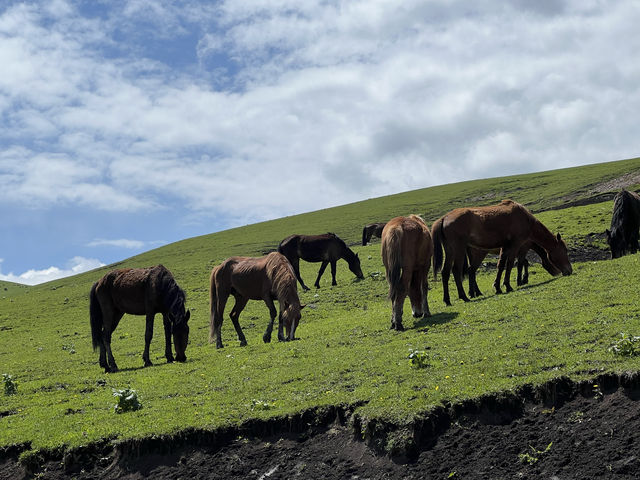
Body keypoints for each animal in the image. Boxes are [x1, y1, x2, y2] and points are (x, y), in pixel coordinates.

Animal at [432, 200, 572, 306]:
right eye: (564, 250)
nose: (569, 271)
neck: (525, 218)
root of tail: (444, 218)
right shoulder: (516, 245)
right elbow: (511, 264)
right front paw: (509, 285)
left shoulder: (505, 247)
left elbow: (501, 266)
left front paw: (498, 287)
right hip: (459, 249)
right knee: (456, 270)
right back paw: (464, 296)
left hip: (450, 251)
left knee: (445, 272)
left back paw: (448, 300)